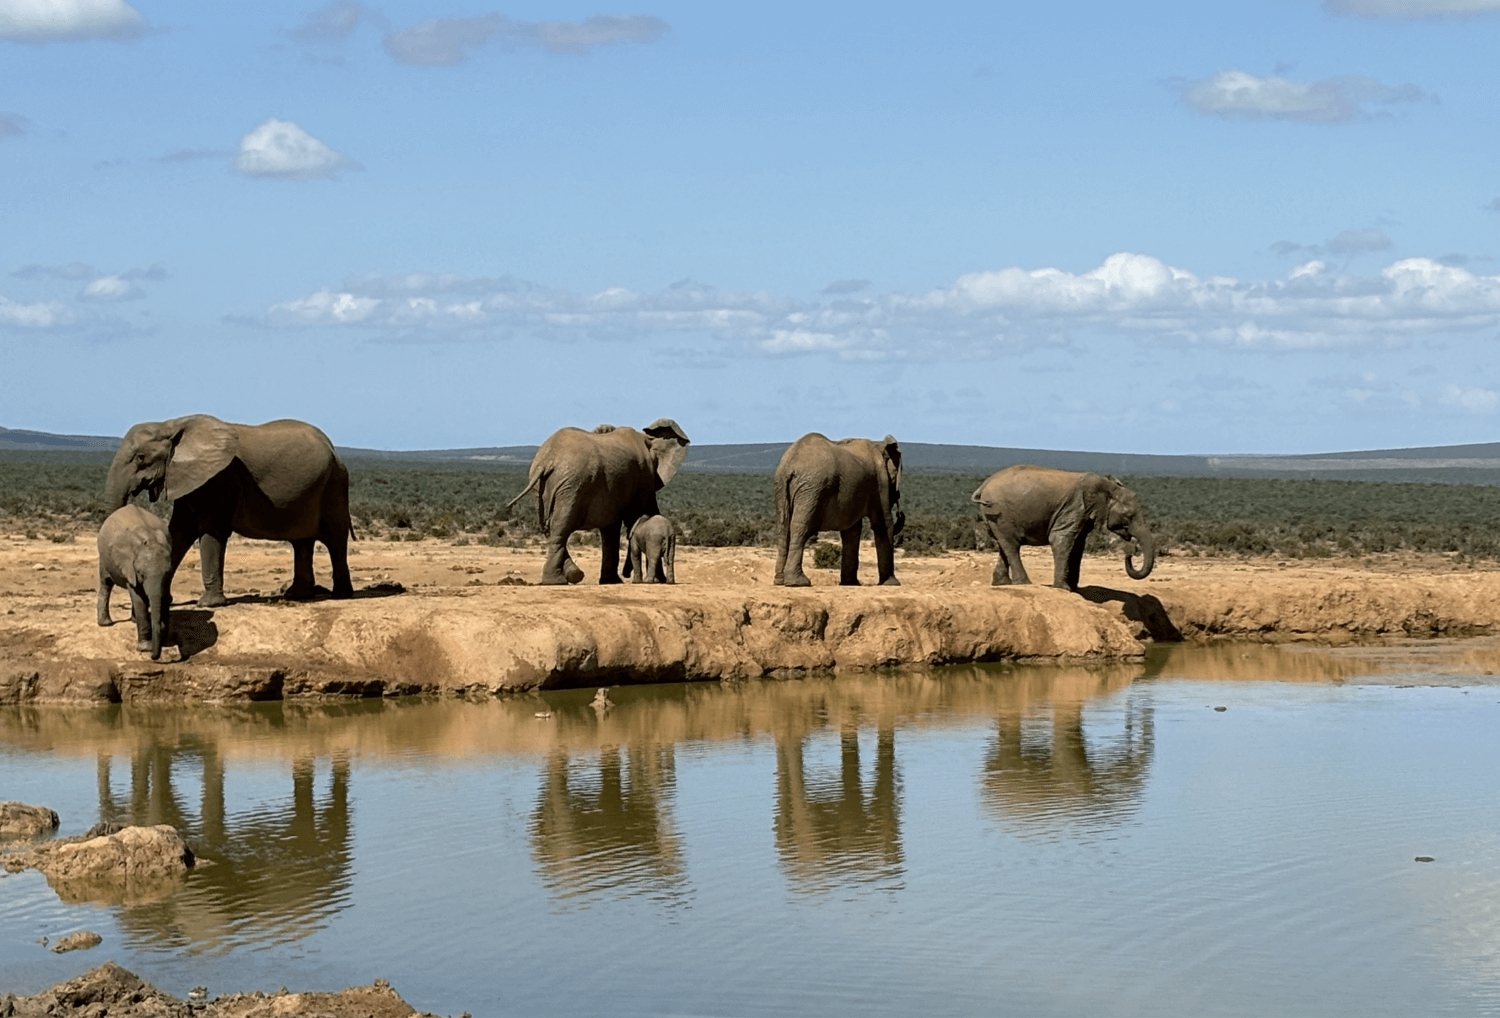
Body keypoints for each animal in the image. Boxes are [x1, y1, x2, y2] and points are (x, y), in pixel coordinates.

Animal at [96, 503, 174, 659]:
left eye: (167, 573)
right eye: (141, 574)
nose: (153, 656)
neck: (150, 540)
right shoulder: (129, 568)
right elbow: (139, 598)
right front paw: (145, 648)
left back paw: (133, 620)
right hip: (104, 557)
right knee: (106, 583)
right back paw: (105, 624)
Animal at [104, 413, 352, 605]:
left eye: (140, 457)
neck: (170, 424)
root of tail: (333, 448)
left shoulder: (221, 479)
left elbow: (211, 531)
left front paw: (208, 604)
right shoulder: (186, 478)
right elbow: (179, 531)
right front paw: (165, 600)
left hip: (335, 483)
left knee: (335, 539)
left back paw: (340, 595)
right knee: (302, 541)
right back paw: (297, 596)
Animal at [504, 416, 690, 584]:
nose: (626, 574)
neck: (646, 439)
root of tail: (547, 460)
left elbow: (611, 528)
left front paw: (610, 581)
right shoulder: (644, 479)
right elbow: (640, 514)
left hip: (545, 488)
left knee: (549, 527)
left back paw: (570, 576)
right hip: (572, 486)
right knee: (560, 526)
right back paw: (559, 580)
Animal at [774, 431, 900, 590]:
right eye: (895, 475)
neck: (879, 445)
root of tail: (790, 465)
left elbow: (851, 531)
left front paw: (850, 583)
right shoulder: (879, 481)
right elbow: (883, 524)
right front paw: (893, 584)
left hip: (783, 487)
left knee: (783, 528)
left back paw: (780, 581)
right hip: (812, 489)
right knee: (800, 529)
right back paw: (798, 583)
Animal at [972, 461, 1158, 590]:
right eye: (1129, 516)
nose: (1131, 551)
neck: (1108, 486)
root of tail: (983, 486)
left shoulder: (1084, 515)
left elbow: (1078, 546)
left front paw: (1074, 589)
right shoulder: (1074, 507)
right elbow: (1061, 539)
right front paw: (1063, 588)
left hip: (994, 515)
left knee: (1004, 543)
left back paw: (1002, 584)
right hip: (999, 512)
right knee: (1011, 545)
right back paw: (1024, 583)